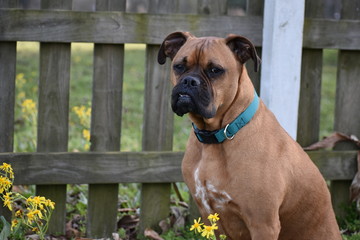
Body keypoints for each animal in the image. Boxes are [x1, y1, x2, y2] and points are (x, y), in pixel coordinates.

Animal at [157, 32, 340, 240]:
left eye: (215, 70)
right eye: (179, 66)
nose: (189, 81)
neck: (219, 135)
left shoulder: (263, 224)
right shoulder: (208, 216)